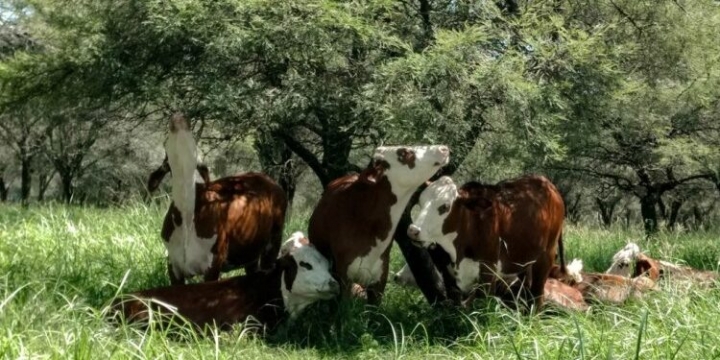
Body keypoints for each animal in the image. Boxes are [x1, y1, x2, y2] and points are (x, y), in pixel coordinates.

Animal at [162, 114, 288, 286]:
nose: (179, 118)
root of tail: (270, 180)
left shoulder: (213, 264)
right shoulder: (174, 267)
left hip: (274, 242)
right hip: (251, 253)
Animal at [404, 174, 568, 310]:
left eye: (444, 207)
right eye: (420, 202)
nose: (413, 230)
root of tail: (548, 184)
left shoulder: (489, 271)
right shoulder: (450, 275)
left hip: (547, 255)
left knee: (537, 294)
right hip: (524, 259)